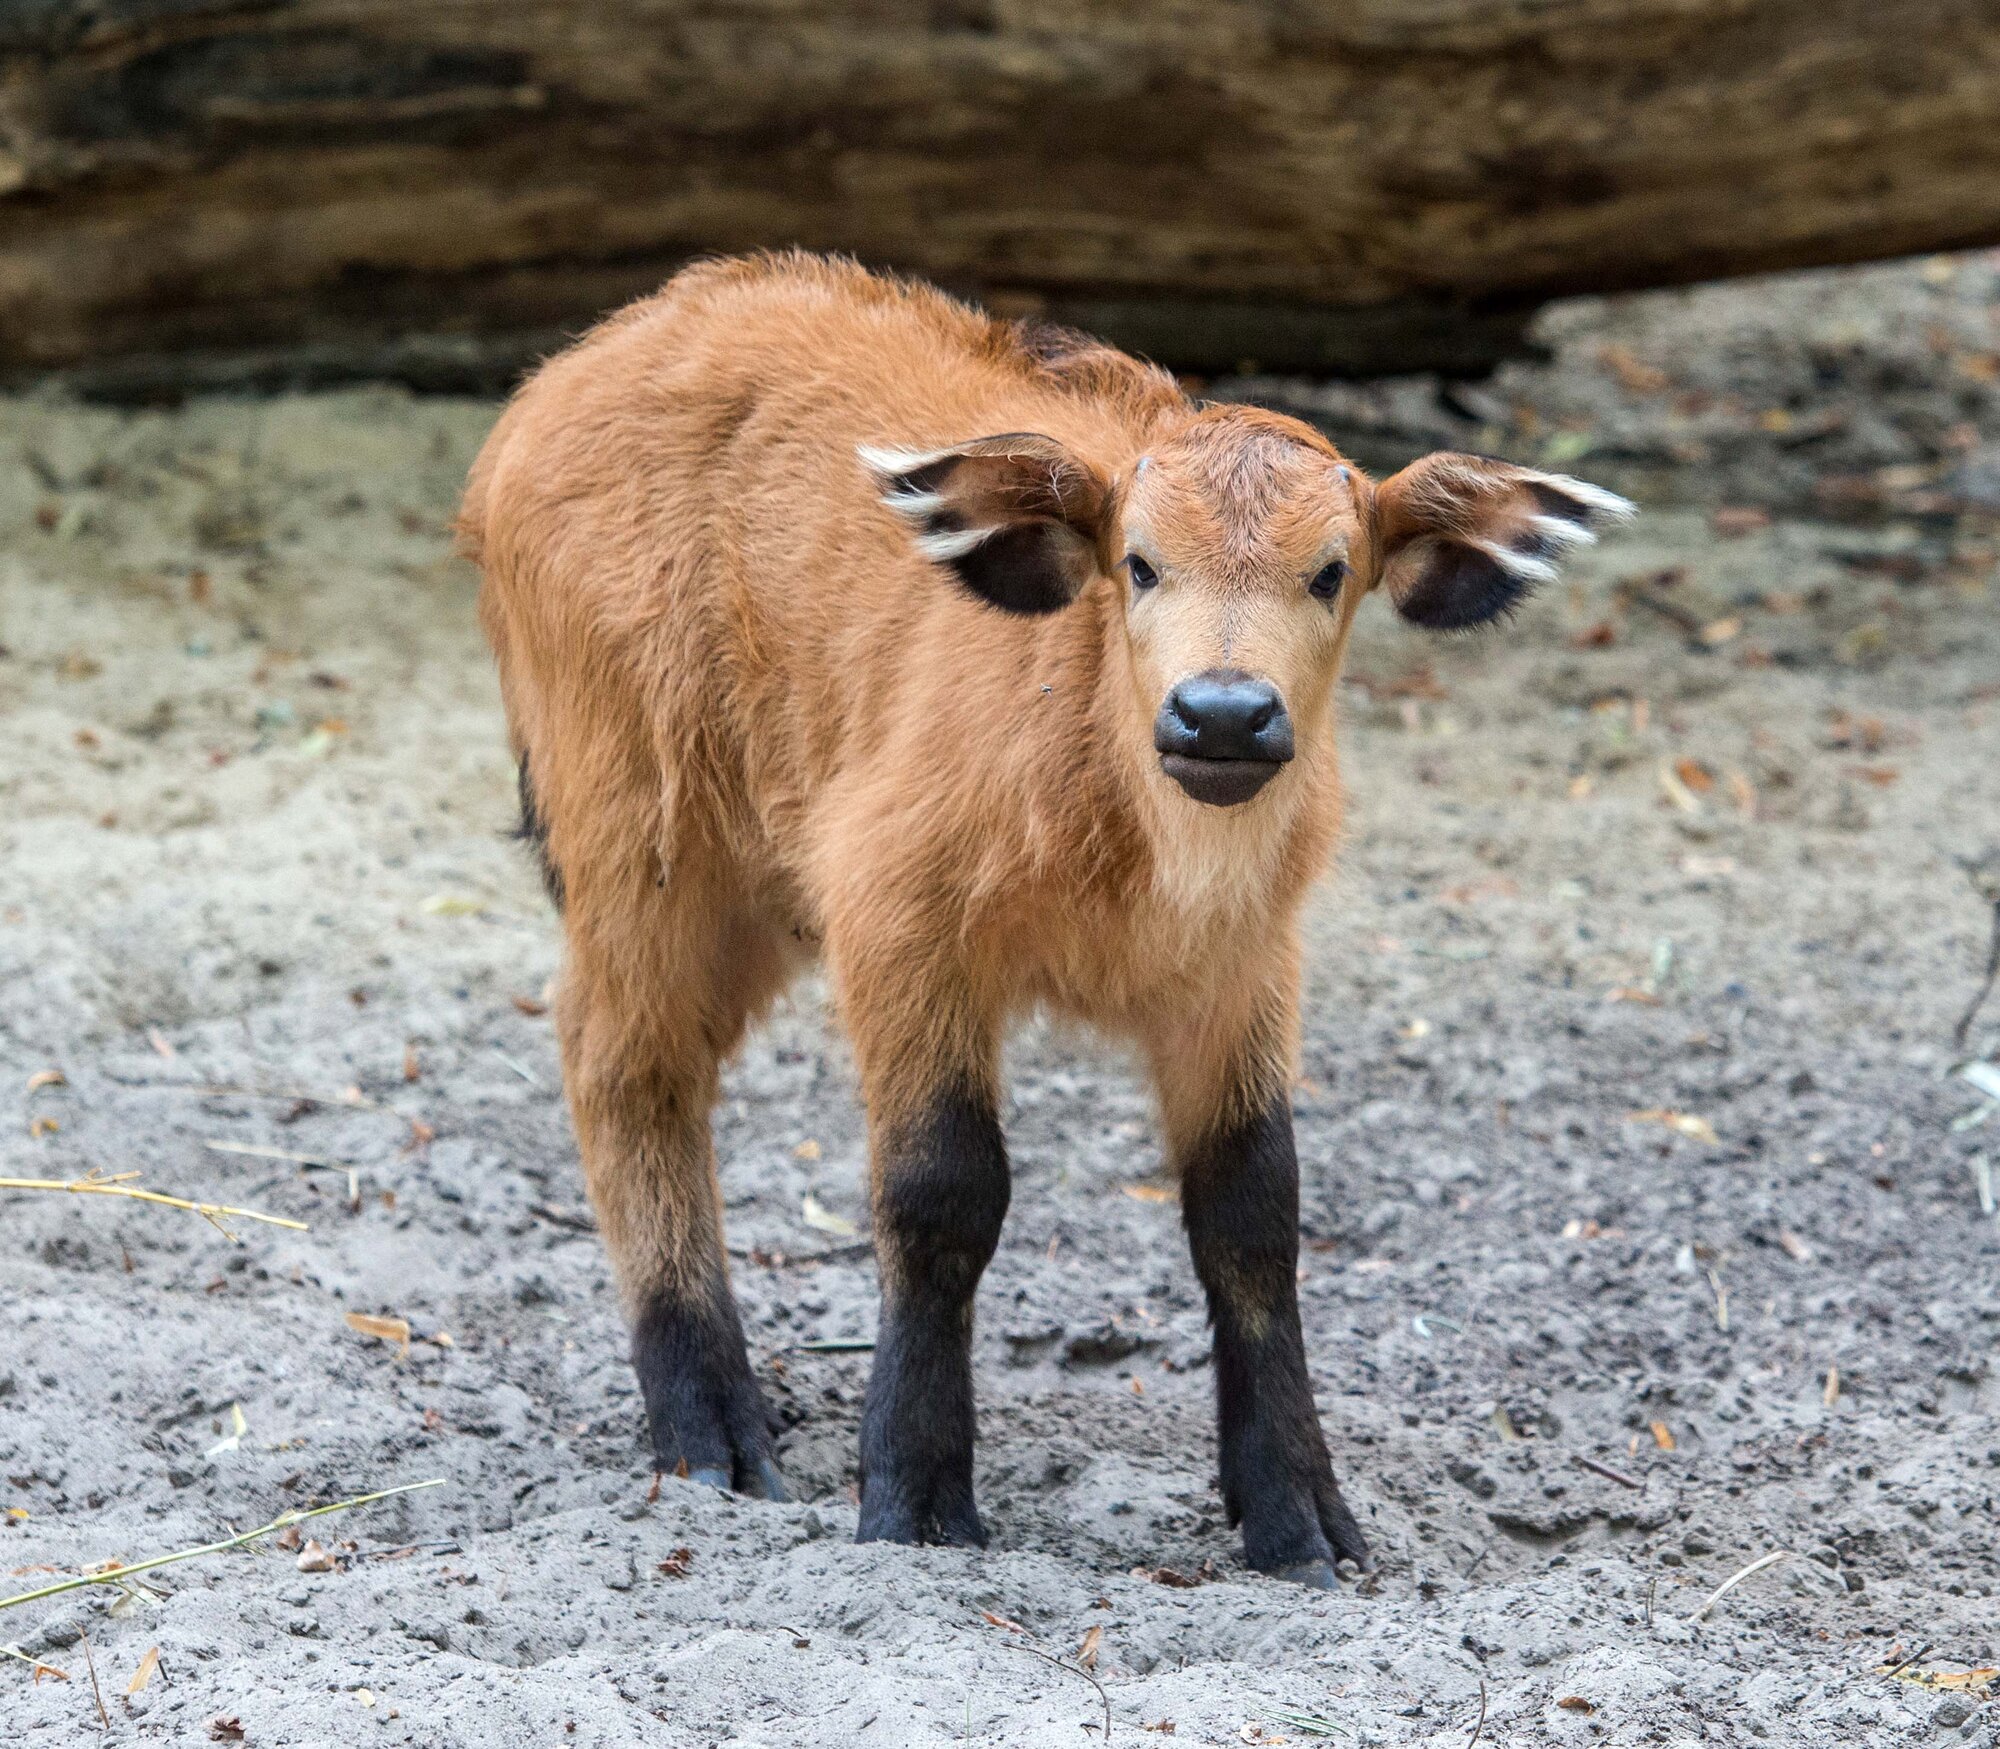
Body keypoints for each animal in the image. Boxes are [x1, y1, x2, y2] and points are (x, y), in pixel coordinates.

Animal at [460, 251, 1631, 1586]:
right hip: (647, 841)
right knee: (623, 1063)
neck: (1124, 826)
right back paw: (708, 1426)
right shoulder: (896, 920)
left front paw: (1295, 1516)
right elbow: (940, 1191)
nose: (1221, 715)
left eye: (1331, 570)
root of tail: (570, 374)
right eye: (1140, 562)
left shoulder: (1242, 966)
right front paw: (913, 1497)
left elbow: (1252, 1209)